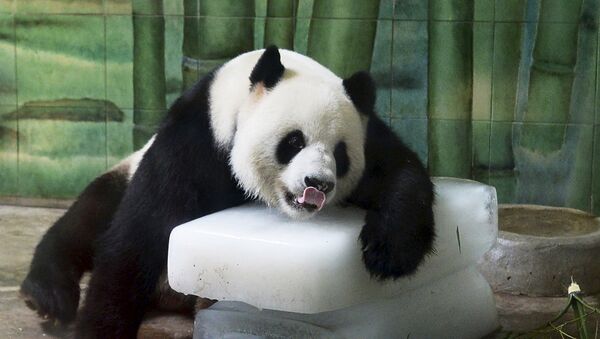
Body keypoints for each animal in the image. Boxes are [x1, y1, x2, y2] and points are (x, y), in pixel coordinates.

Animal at [17, 46, 432, 338]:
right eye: (294, 142)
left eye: (341, 153)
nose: (318, 184)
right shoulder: (194, 142)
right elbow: (137, 237)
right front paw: (102, 326)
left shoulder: (368, 131)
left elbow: (397, 170)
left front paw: (388, 251)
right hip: (124, 173)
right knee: (89, 216)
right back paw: (47, 295)